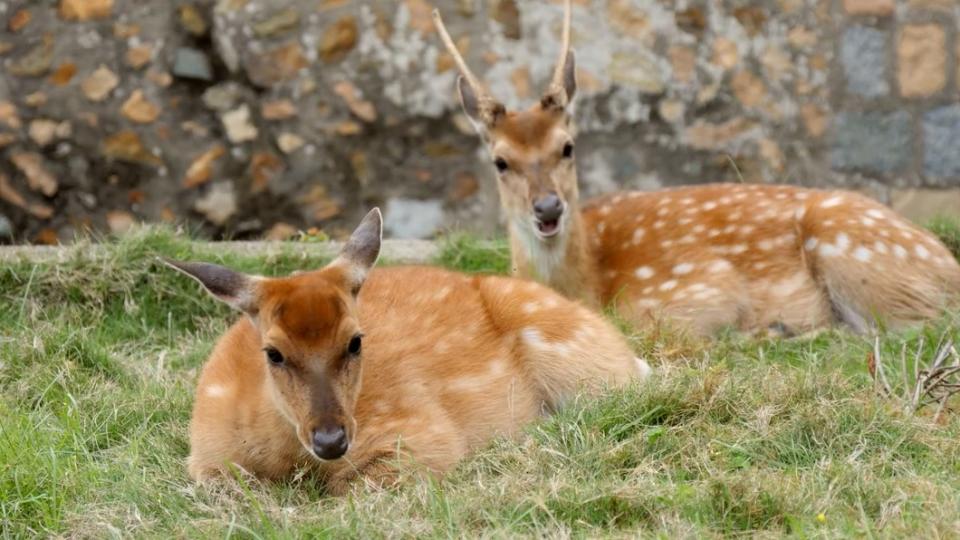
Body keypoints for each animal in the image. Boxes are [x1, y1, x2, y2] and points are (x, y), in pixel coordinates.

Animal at [163, 209, 652, 496]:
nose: (331, 439)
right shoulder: (204, 456)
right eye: (273, 352)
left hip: (580, 360)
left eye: (356, 340)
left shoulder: (419, 432)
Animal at [436, 1, 960, 338]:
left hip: (856, 250)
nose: (548, 208)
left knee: (910, 329)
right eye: (500, 161)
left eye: (568, 146)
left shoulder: (696, 287)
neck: (589, 286)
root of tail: (949, 266)